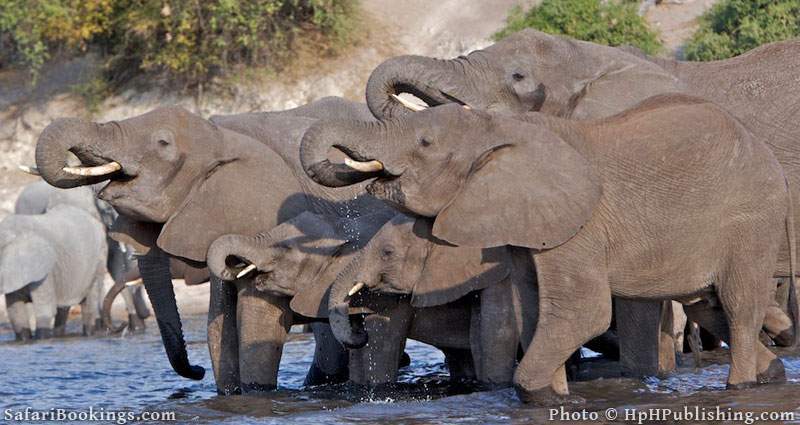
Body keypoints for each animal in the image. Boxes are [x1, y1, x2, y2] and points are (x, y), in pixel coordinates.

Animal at [1, 204, 108, 340]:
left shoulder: (45, 271)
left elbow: (44, 310)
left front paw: (42, 340)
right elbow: (16, 311)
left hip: (99, 259)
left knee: (89, 304)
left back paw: (88, 334)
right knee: (63, 307)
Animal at [31, 96, 391, 394]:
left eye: (163, 143)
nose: (196, 371)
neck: (221, 139)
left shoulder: (269, 219)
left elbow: (258, 321)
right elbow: (218, 326)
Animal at [300, 96, 798, 404]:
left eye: (424, 143)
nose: (359, 331)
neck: (500, 128)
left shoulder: (579, 224)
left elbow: (582, 311)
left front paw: (542, 393)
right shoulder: (526, 224)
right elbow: (536, 311)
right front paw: (557, 396)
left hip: (752, 218)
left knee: (738, 304)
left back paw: (741, 386)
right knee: (707, 305)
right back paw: (771, 373)